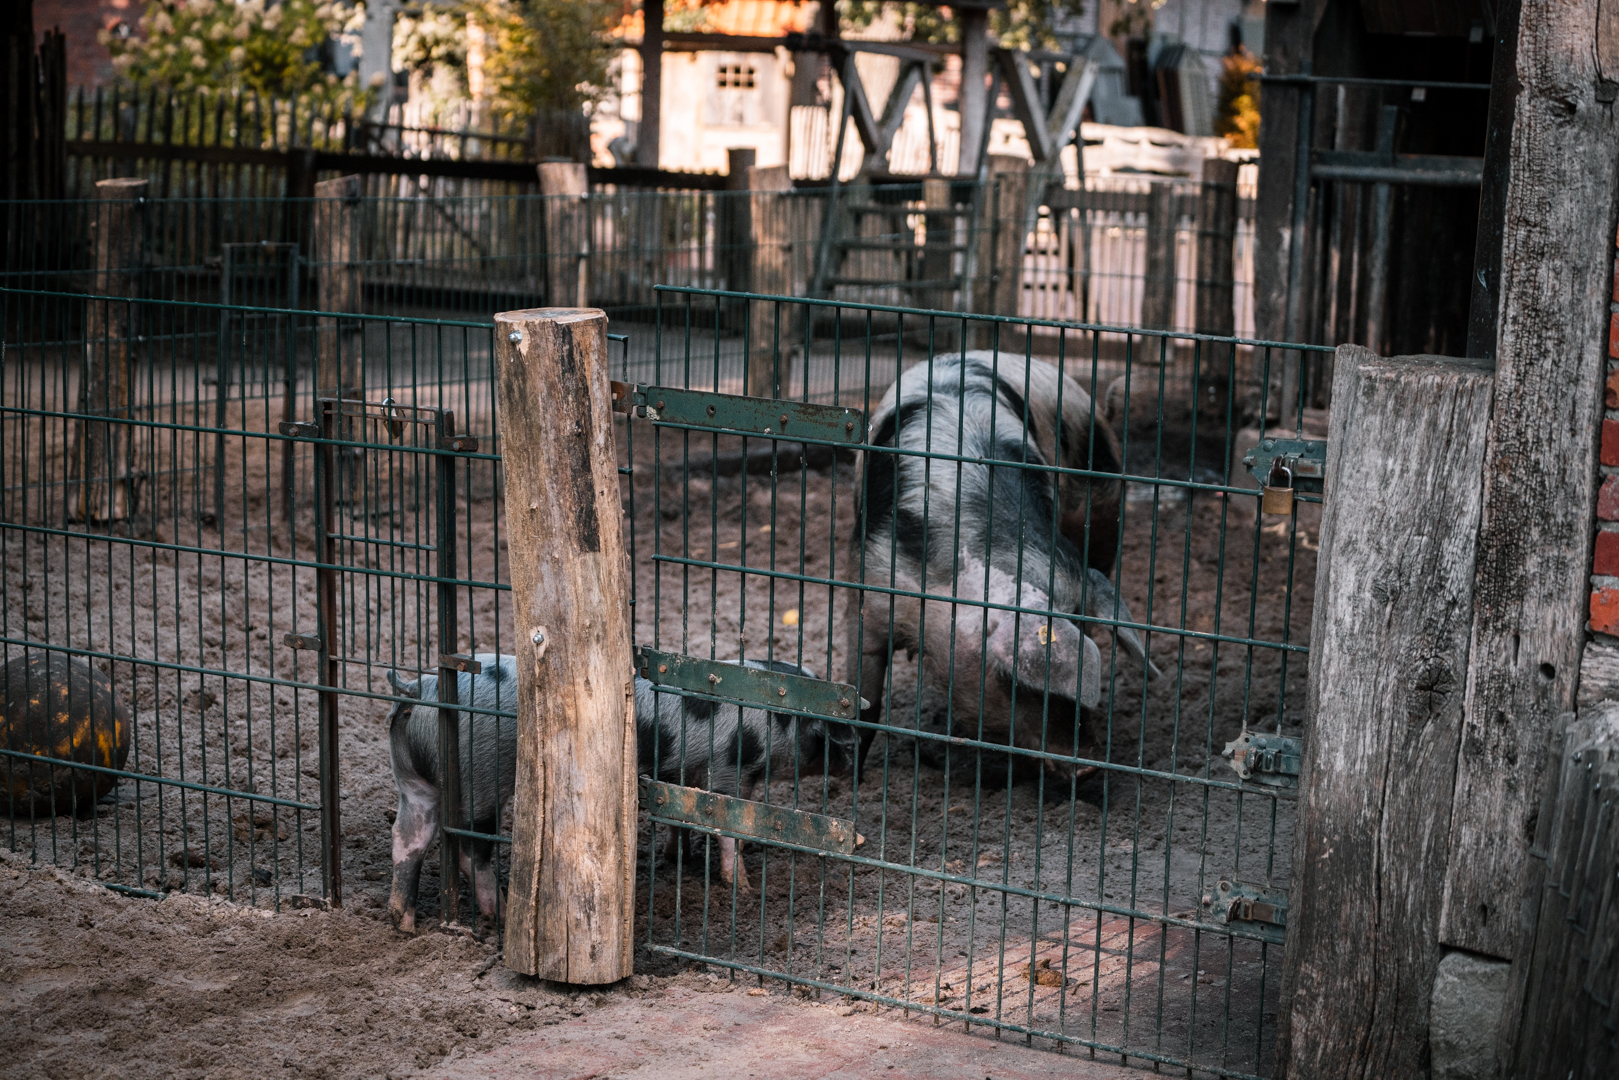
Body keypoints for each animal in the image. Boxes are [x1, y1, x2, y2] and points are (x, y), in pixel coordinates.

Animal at [385, 654, 859, 932]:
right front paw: (742, 889)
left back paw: (404, 922)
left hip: (415, 783)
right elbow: (728, 824)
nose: (853, 760)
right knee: (472, 850)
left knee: (408, 839)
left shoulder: (683, 769)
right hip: (480, 778)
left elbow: (682, 812)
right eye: (831, 735)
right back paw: (497, 914)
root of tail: (420, 689)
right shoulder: (730, 767)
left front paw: (678, 859)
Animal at [842, 350, 1160, 779]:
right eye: (1013, 681)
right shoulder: (869, 578)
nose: (1089, 768)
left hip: (1105, 510)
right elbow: (865, 700)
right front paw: (849, 779)